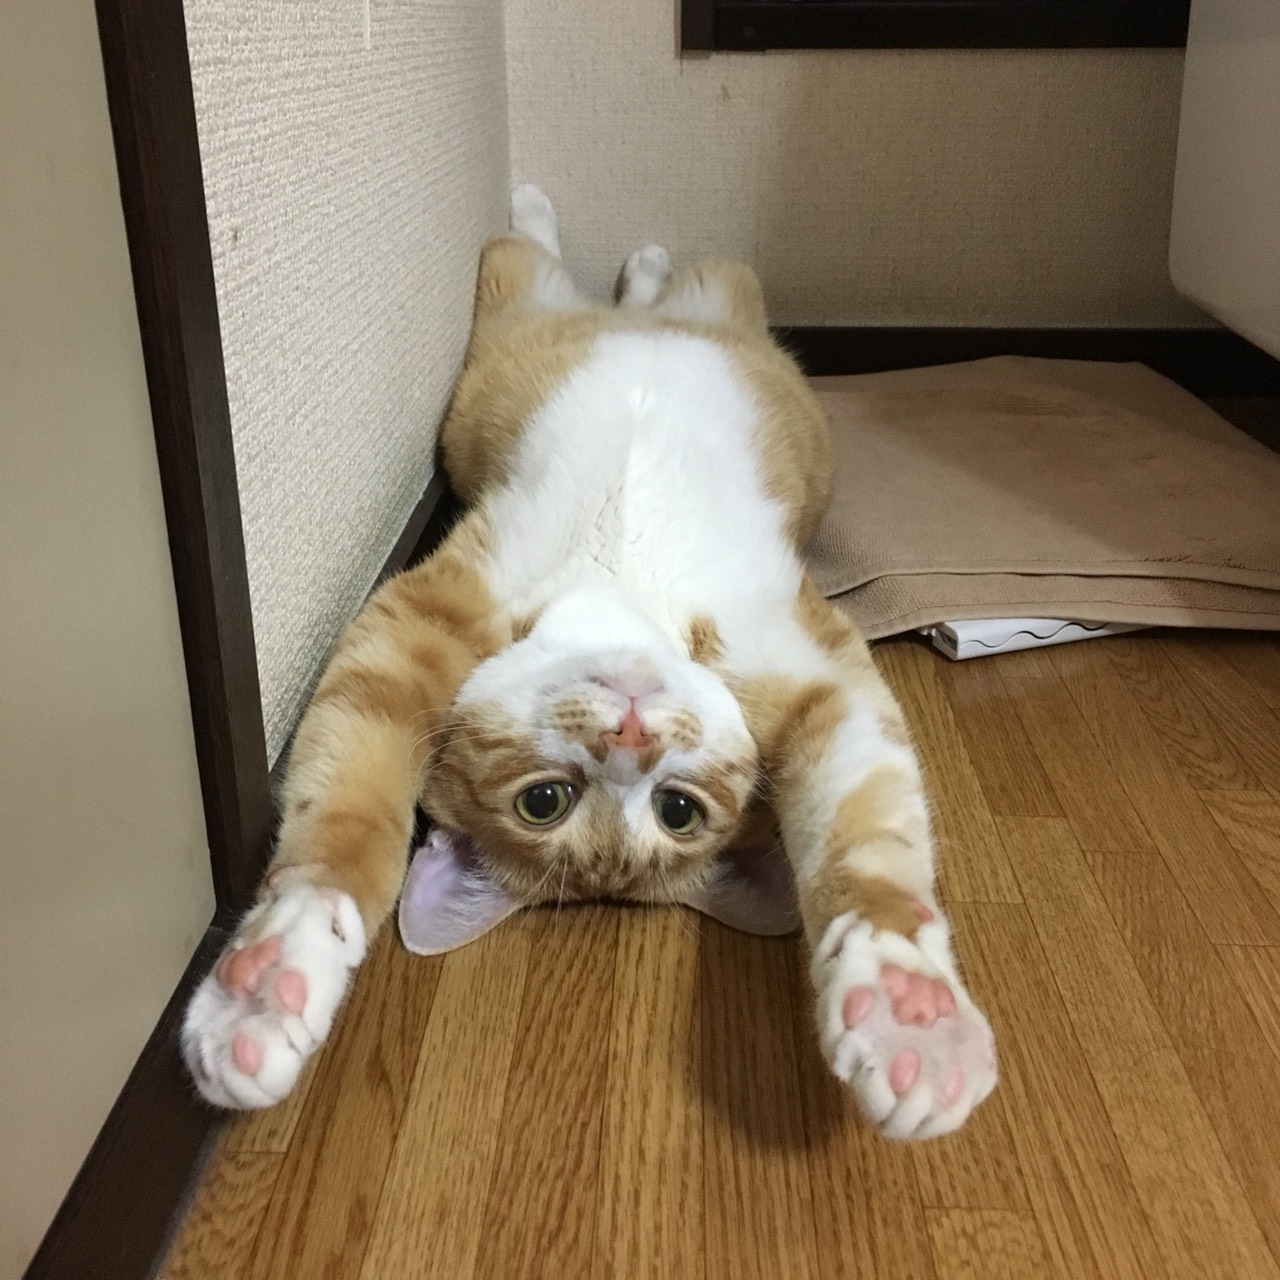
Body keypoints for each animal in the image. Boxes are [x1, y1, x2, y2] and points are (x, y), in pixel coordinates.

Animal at [182, 185, 997, 1140]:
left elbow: (869, 836)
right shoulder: (425, 616)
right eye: (545, 801)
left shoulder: (808, 668)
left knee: (637, 278)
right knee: (543, 258)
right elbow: (346, 814)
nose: (630, 736)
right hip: (519, 306)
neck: (624, 593)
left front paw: (910, 1008)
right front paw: (276, 974)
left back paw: (628, 263)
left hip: (703, 295)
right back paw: (581, 236)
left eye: (678, 811)